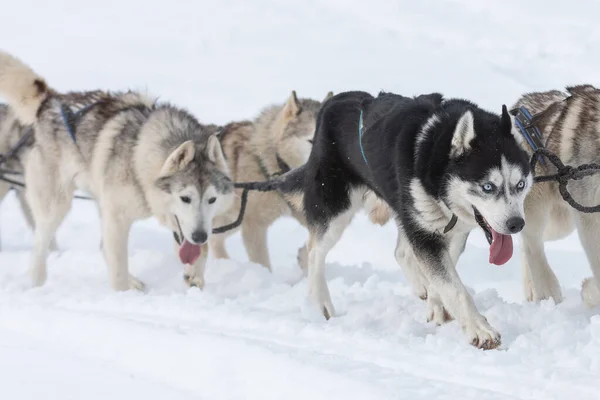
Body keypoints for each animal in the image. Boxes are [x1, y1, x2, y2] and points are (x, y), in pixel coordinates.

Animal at [0, 51, 233, 290]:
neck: (139, 157)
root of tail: (52, 102)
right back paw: (37, 282)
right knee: (41, 243)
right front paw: (122, 294)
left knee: (100, 247)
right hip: (57, 205)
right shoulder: (117, 219)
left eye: (212, 200)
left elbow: (198, 255)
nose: (200, 236)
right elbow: (118, 269)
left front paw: (195, 277)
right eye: (185, 198)